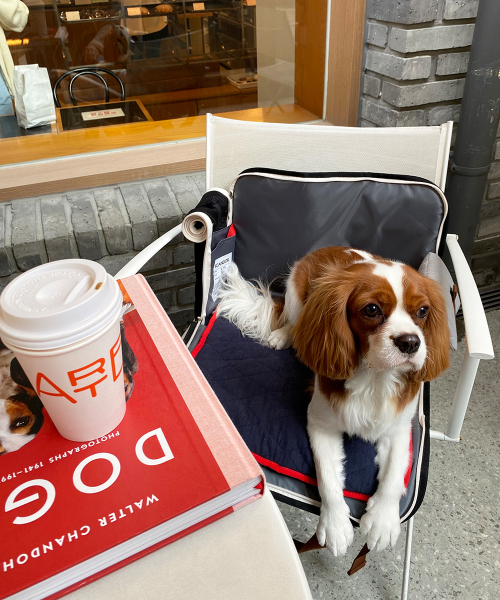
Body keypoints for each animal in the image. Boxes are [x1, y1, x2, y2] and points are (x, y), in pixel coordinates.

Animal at [218, 246, 449, 555]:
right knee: (296, 324)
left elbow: (392, 477)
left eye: (423, 311)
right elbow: (328, 476)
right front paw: (336, 525)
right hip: (296, 294)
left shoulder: (399, 429)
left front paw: (382, 521)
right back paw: (282, 335)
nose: (411, 342)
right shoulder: (321, 423)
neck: (374, 377)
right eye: (372, 309)